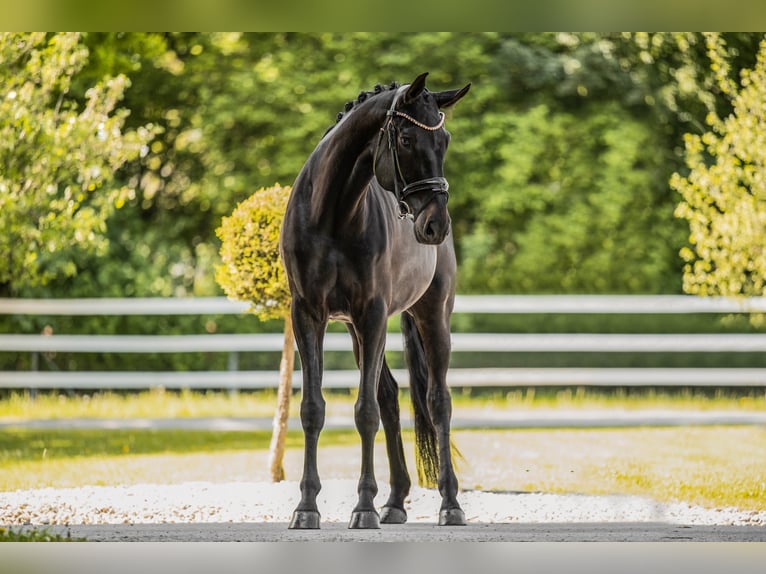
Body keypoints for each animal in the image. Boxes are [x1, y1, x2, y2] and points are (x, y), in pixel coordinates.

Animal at [280, 73, 472, 532]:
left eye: (445, 140)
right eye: (405, 138)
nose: (435, 224)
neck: (331, 215)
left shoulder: (372, 315)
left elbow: (364, 410)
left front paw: (363, 507)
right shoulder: (308, 315)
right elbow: (313, 408)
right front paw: (306, 508)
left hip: (432, 316)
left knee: (438, 401)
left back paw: (449, 504)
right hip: (356, 329)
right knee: (389, 395)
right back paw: (396, 500)